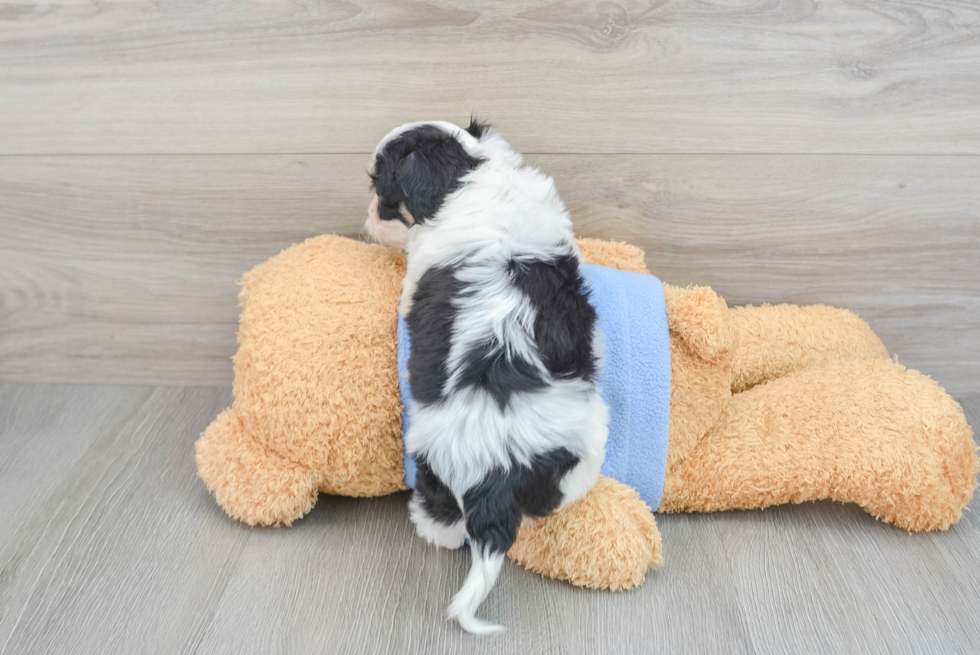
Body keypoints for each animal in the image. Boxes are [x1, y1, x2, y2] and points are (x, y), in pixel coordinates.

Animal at [364, 120, 604, 632]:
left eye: (380, 188)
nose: (369, 216)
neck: (469, 175)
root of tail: (495, 472)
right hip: (575, 451)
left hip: (431, 468)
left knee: (443, 519)